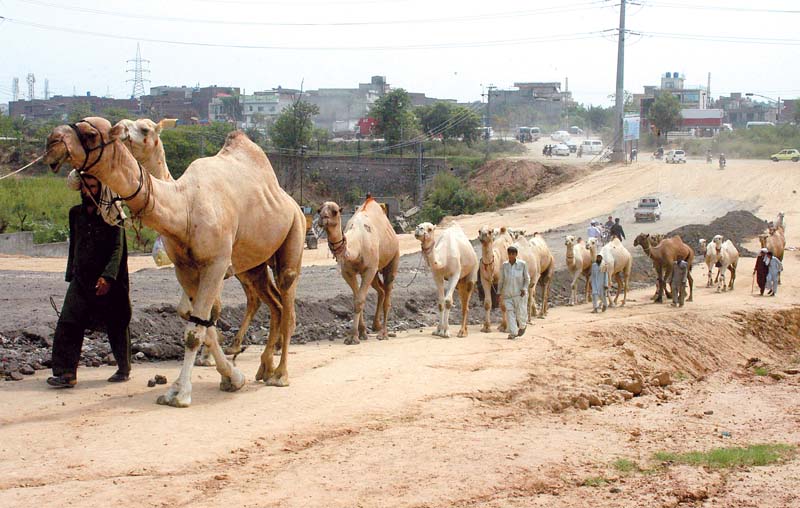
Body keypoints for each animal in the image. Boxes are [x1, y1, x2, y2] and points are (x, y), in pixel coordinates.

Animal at [114, 117, 280, 360]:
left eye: (145, 129)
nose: (120, 128)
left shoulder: (216, 265)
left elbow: (213, 308)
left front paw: (207, 357)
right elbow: (186, 310)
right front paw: (212, 347)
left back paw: (260, 347)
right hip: (248, 267)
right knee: (256, 298)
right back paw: (243, 345)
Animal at [318, 196, 400, 344]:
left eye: (334, 211)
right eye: (318, 210)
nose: (323, 218)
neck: (357, 245)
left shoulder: (369, 270)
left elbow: (360, 300)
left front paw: (353, 337)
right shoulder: (347, 272)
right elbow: (357, 299)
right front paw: (361, 333)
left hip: (393, 258)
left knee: (388, 293)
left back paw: (383, 333)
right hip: (375, 271)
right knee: (381, 290)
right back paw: (376, 326)